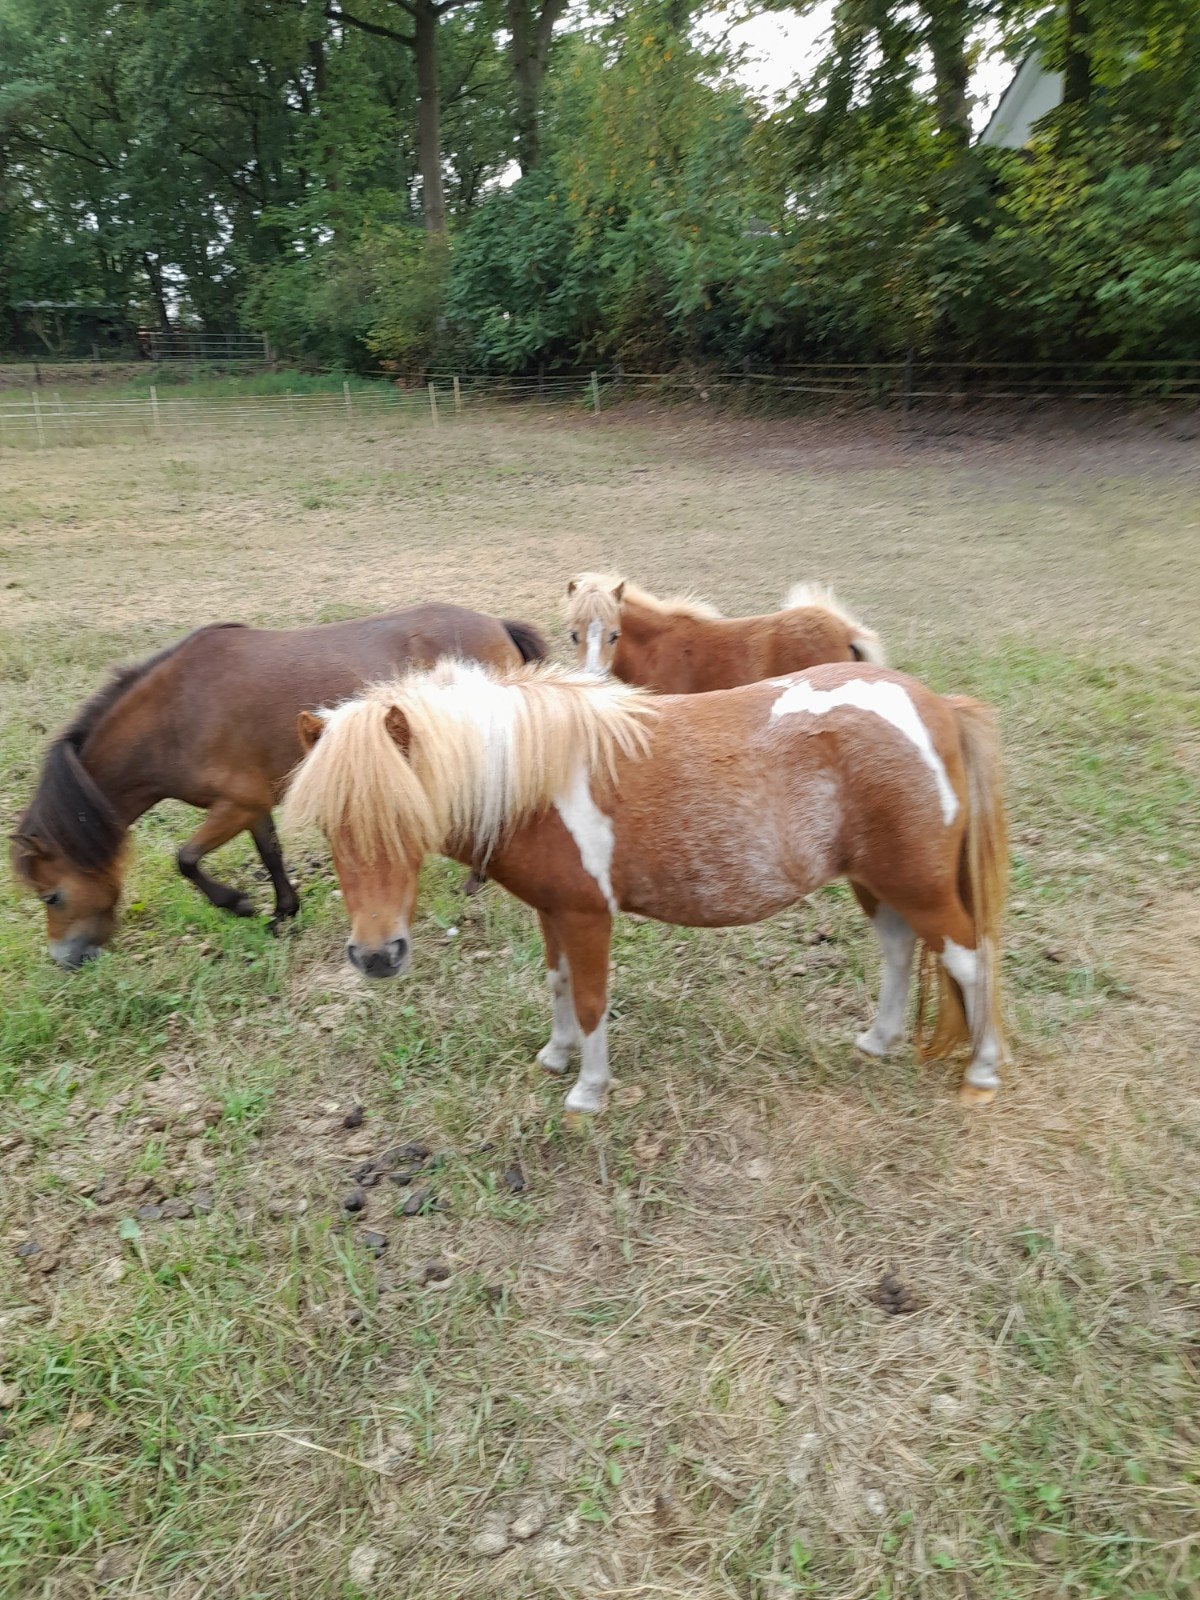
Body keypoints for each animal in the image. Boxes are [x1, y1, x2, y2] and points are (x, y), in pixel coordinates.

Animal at [10, 606, 546, 968]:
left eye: (50, 897)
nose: (64, 961)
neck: (175, 714)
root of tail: (498, 625)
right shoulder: (252, 803)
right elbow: (270, 853)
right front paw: (283, 913)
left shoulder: (232, 806)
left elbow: (186, 859)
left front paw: (239, 904)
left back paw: (477, 877)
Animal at [282, 658, 1008, 1113]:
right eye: (327, 826)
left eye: (406, 815)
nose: (376, 956)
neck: (537, 780)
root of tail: (938, 709)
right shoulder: (553, 912)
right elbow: (558, 984)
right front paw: (556, 1055)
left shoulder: (587, 916)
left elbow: (592, 999)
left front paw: (588, 1092)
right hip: (876, 882)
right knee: (900, 949)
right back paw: (878, 1041)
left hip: (917, 884)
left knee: (968, 959)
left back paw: (981, 1071)